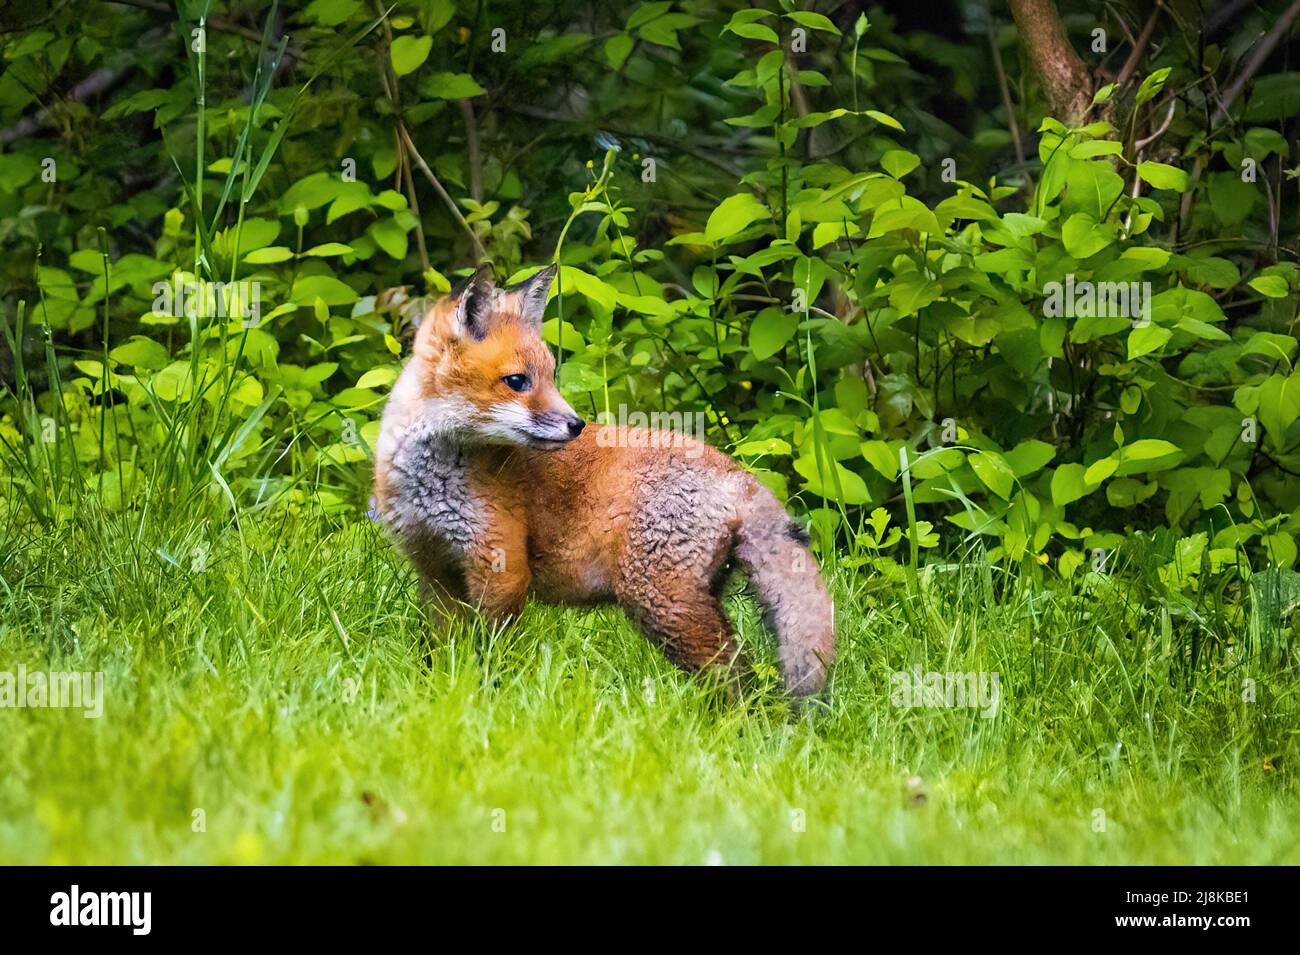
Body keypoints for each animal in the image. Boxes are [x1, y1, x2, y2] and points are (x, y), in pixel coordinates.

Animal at [371, 263, 832, 696]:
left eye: (551, 377)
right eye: (517, 381)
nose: (576, 425)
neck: (429, 480)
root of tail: (736, 473)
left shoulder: (500, 568)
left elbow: (491, 654)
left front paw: (486, 695)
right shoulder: (435, 570)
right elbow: (441, 651)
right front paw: (441, 690)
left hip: (661, 603)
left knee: (738, 680)